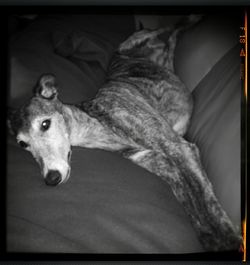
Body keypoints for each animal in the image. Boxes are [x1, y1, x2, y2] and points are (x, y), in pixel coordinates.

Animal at [8, 15, 242, 251]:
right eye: (22, 144)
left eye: (45, 124)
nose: (51, 178)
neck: (99, 120)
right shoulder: (160, 163)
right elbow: (189, 199)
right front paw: (209, 238)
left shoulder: (179, 148)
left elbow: (205, 200)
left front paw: (227, 239)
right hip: (155, 54)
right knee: (172, 40)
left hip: (136, 39)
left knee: (169, 26)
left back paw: (191, 19)